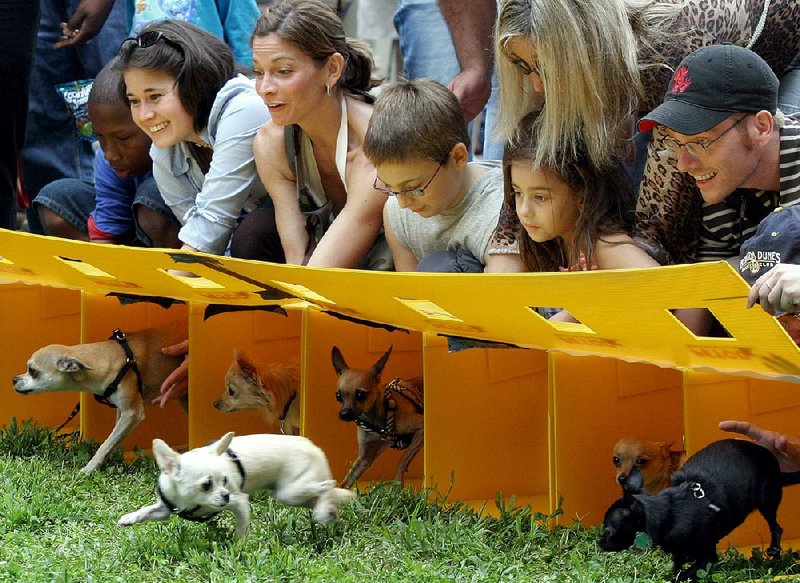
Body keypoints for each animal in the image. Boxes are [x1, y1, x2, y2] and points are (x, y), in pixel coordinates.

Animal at [11, 324, 187, 474]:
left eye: (32, 370)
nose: (14, 379)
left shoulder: (132, 413)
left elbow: (106, 444)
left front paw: (89, 468)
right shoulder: (123, 411)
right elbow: (113, 440)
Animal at [330, 346, 422, 488]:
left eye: (360, 395)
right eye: (338, 396)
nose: (344, 414)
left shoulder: (421, 427)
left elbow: (402, 459)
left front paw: (398, 484)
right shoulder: (364, 459)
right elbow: (347, 480)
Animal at [596, 440, 800, 580]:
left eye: (609, 530)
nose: (598, 541)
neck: (668, 513)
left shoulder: (707, 557)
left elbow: (682, 574)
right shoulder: (679, 552)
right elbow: (678, 565)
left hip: (767, 500)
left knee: (776, 526)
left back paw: (774, 549)